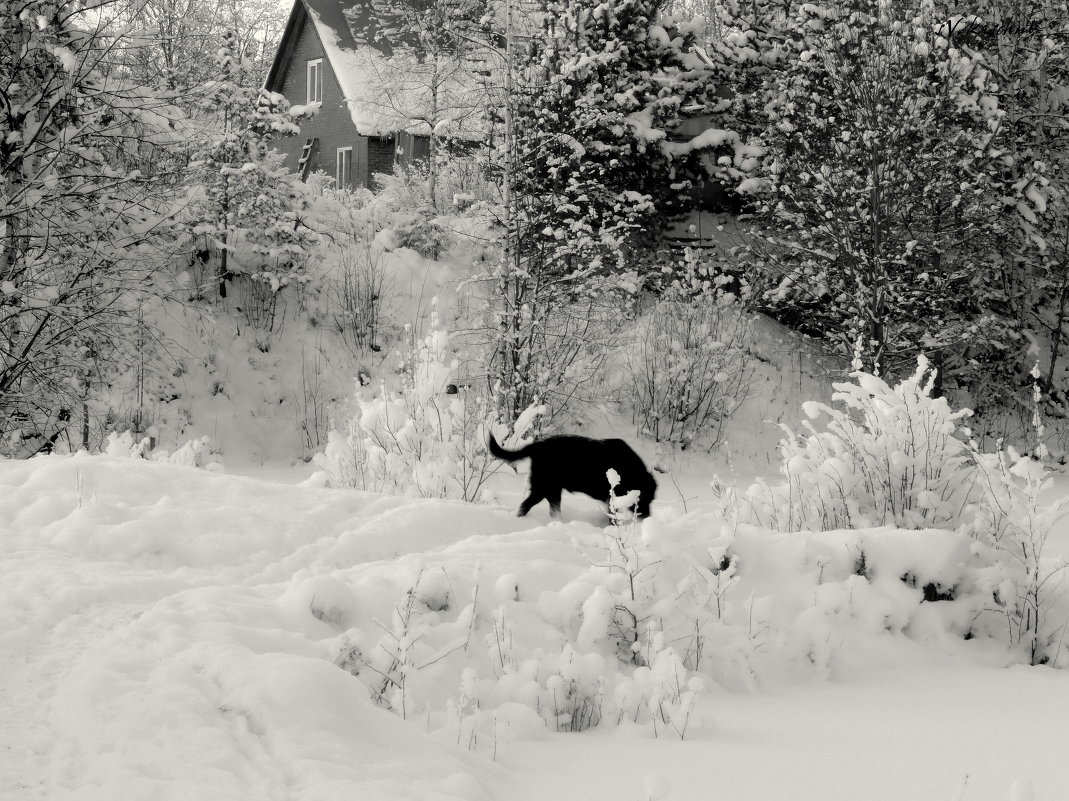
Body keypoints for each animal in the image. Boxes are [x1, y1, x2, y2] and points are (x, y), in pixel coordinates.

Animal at [489, 432, 654, 519]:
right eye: (646, 498)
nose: (646, 516)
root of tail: (538, 445)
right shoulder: (611, 498)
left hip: (551, 491)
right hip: (543, 488)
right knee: (527, 506)